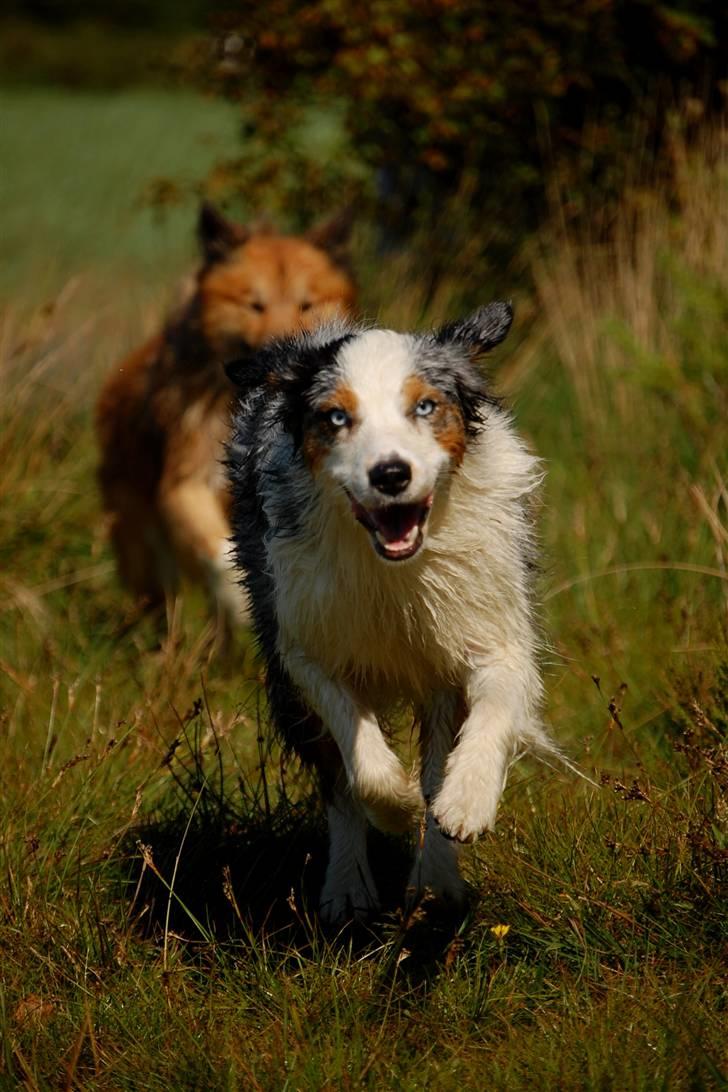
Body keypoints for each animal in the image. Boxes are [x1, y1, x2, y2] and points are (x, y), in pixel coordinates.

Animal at [225, 305, 552, 921]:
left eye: (424, 406)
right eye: (336, 417)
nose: (391, 474)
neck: (398, 574)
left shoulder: (491, 632)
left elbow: (492, 712)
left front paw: (467, 802)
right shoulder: (302, 647)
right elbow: (360, 761)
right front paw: (394, 810)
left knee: (435, 763)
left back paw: (436, 878)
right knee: (337, 784)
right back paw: (347, 887)